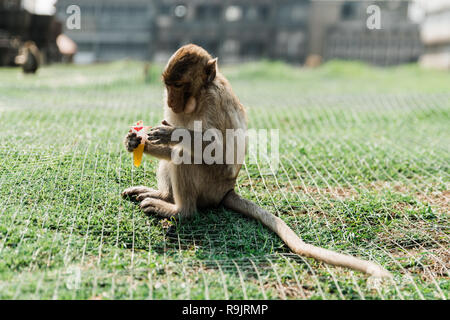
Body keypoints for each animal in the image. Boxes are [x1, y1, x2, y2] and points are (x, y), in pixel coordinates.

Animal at [122, 43, 390, 276]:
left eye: (179, 84)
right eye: (168, 85)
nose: (170, 100)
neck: (200, 95)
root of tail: (227, 191)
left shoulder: (215, 102)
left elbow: (217, 152)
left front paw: (171, 134)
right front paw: (137, 142)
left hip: (210, 185)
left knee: (184, 157)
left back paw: (179, 210)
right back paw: (164, 196)